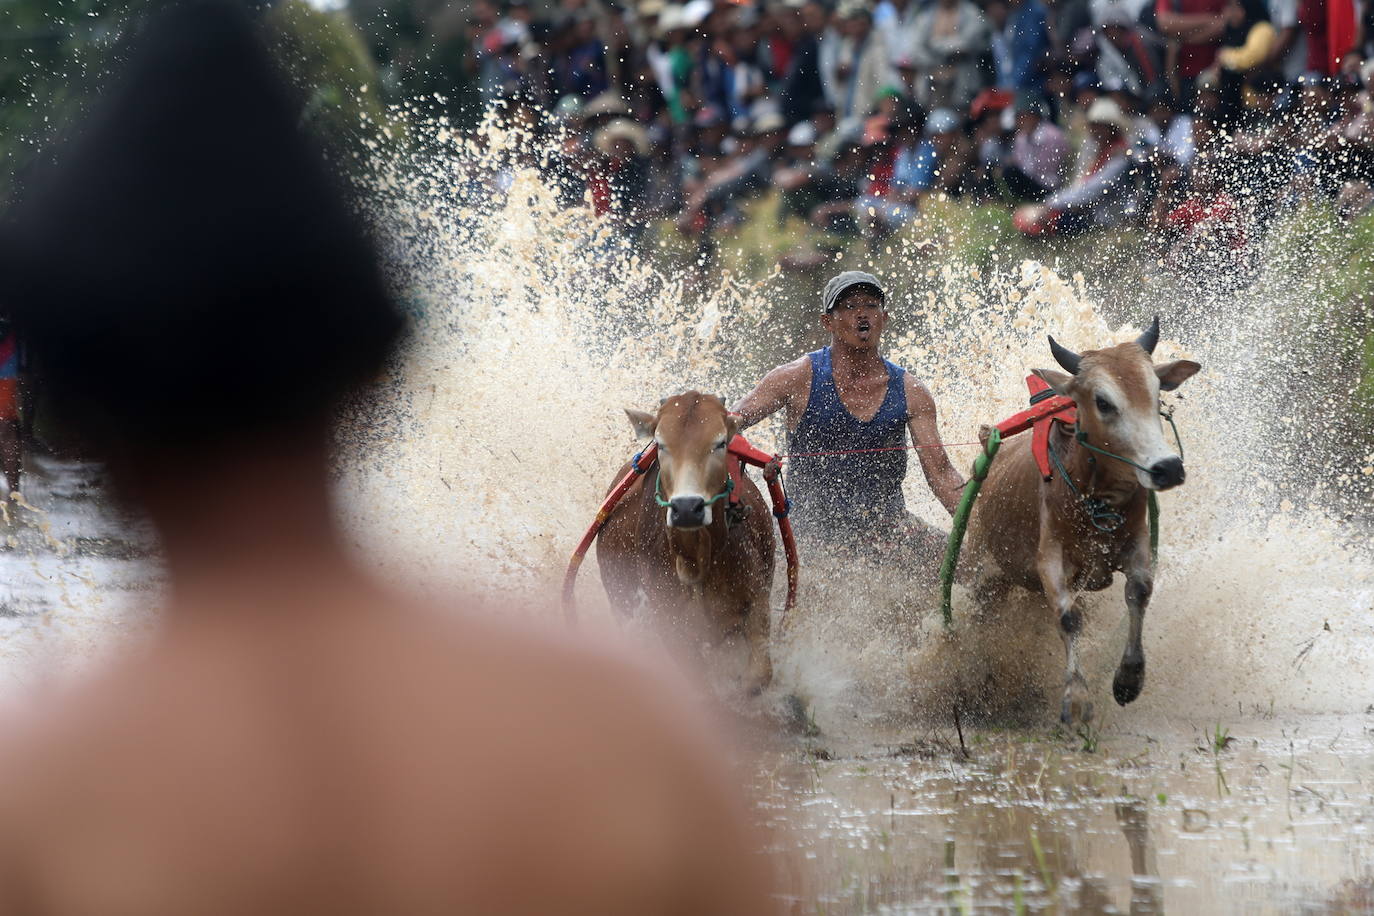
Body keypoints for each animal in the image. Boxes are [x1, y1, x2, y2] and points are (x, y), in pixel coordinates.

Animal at [599, 390, 780, 694]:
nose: (686, 508)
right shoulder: (671, 630)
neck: (697, 557)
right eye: (661, 444)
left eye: (720, 442)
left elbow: (758, 677)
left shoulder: (756, 598)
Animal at [967, 318, 1203, 725]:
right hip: (982, 575)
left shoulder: (1138, 545)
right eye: (1103, 402)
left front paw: (1128, 679)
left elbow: (1139, 593)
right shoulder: (1050, 559)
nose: (1168, 468)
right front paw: (1076, 698)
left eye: (1156, 392)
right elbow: (1069, 618)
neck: (1096, 497)